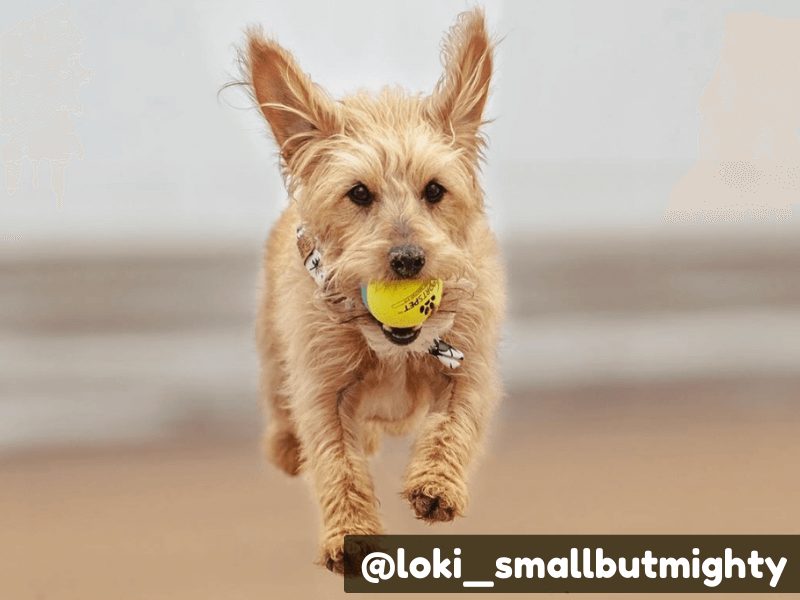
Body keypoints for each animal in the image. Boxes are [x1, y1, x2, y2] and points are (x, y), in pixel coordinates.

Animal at [245, 8, 506, 572]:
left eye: (435, 190)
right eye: (358, 193)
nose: (408, 259)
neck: (392, 348)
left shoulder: (468, 365)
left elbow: (455, 422)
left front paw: (436, 483)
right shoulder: (321, 389)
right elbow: (336, 461)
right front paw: (349, 531)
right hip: (273, 352)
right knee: (281, 407)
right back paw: (285, 445)